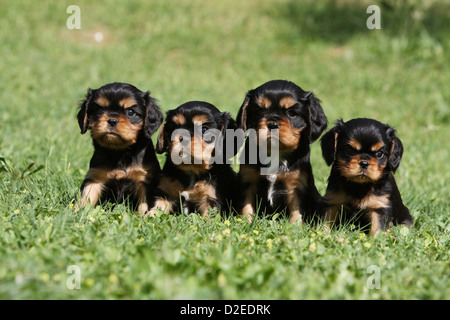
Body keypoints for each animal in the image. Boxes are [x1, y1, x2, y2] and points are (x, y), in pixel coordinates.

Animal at [76, 82, 163, 215]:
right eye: (99, 110)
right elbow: (85, 198)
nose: (112, 120)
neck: (120, 151)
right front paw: (74, 214)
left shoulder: (144, 181)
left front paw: (142, 218)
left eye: (130, 112)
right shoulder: (95, 177)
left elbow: (144, 206)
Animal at [236, 80, 326, 224]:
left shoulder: (296, 185)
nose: (272, 124)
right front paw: (246, 222)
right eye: (260, 111)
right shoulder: (247, 180)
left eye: (292, 113)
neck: (275, 152)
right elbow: (246, 205)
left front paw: (295, 227)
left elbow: (296, 210)